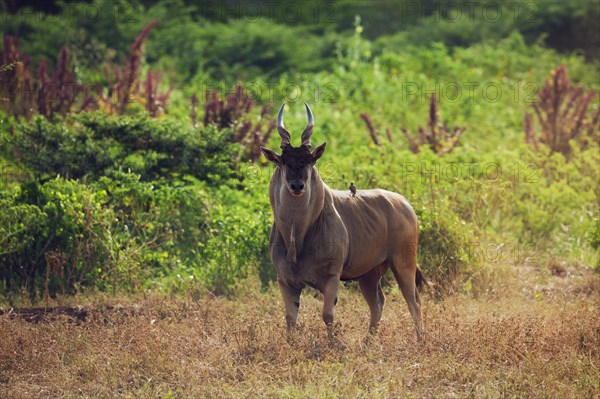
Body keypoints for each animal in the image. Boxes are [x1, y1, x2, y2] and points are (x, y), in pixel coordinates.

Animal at [260, 102, 424, 340]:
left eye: (310, 160)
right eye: (283, 160)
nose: (297, 186)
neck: (297, 236)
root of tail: (405, 205)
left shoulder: (332, 277)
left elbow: (328, 315)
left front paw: (332, 344)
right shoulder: (285, 281)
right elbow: (290, 319)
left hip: (404, 263)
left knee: (414, 302)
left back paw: (420, 341)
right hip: (368, 275)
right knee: (378, 303)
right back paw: (367, 342)